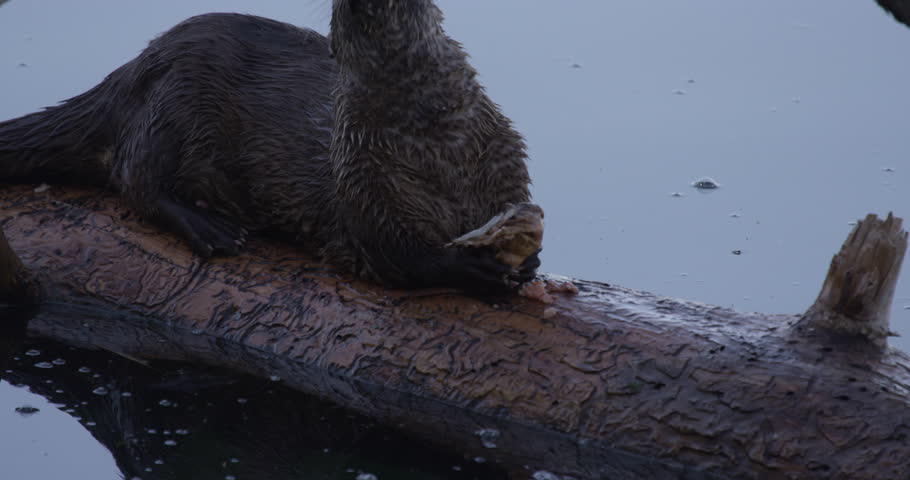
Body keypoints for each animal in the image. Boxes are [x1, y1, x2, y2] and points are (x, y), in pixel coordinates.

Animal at [0, 1, 539, 291]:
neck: (440, 149)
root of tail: (134, 65)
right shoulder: (363, 184)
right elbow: (400, 257)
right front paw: (468, 265)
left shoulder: (505, 161)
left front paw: (527, 260)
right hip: (174, 99)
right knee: (136, 179)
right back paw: (210, 227)